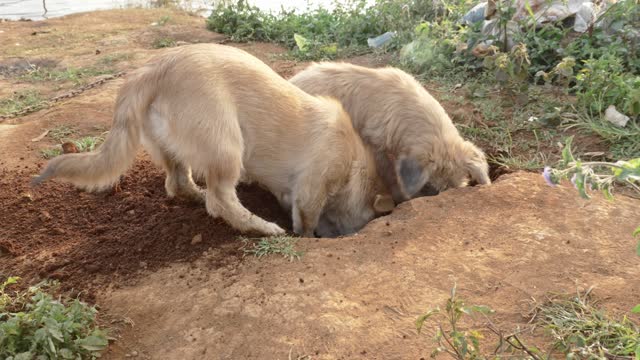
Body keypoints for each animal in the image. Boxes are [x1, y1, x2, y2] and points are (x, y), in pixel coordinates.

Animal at [35, 43, 398, 238]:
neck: (354, 163)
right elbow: (305, 218)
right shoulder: (312, 187)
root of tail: (152, 70)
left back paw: (196, 196)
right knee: (220, 199)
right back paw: (261, 227)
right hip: (227, 146)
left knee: (179, 184)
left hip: (172, 149)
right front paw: (305, 236)